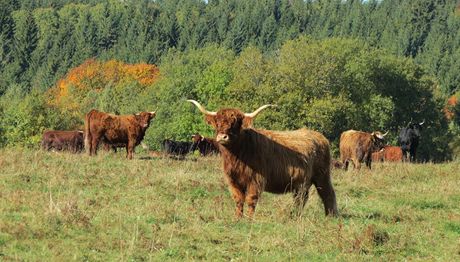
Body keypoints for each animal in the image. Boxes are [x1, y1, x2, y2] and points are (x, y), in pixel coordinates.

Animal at [187, 100, 338, 219]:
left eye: (235, 124)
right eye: (217, 123)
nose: (223, 137)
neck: (237, 156)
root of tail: (320, 137)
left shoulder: (256, 179)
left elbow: (251, 199)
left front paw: (249, 219)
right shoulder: (233, 179)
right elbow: (238, 199)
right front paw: (237, 218)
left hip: (322, 175)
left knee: (326, 193)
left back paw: (330, 216)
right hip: (300, 182)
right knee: (301, 198)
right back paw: (295, 216)